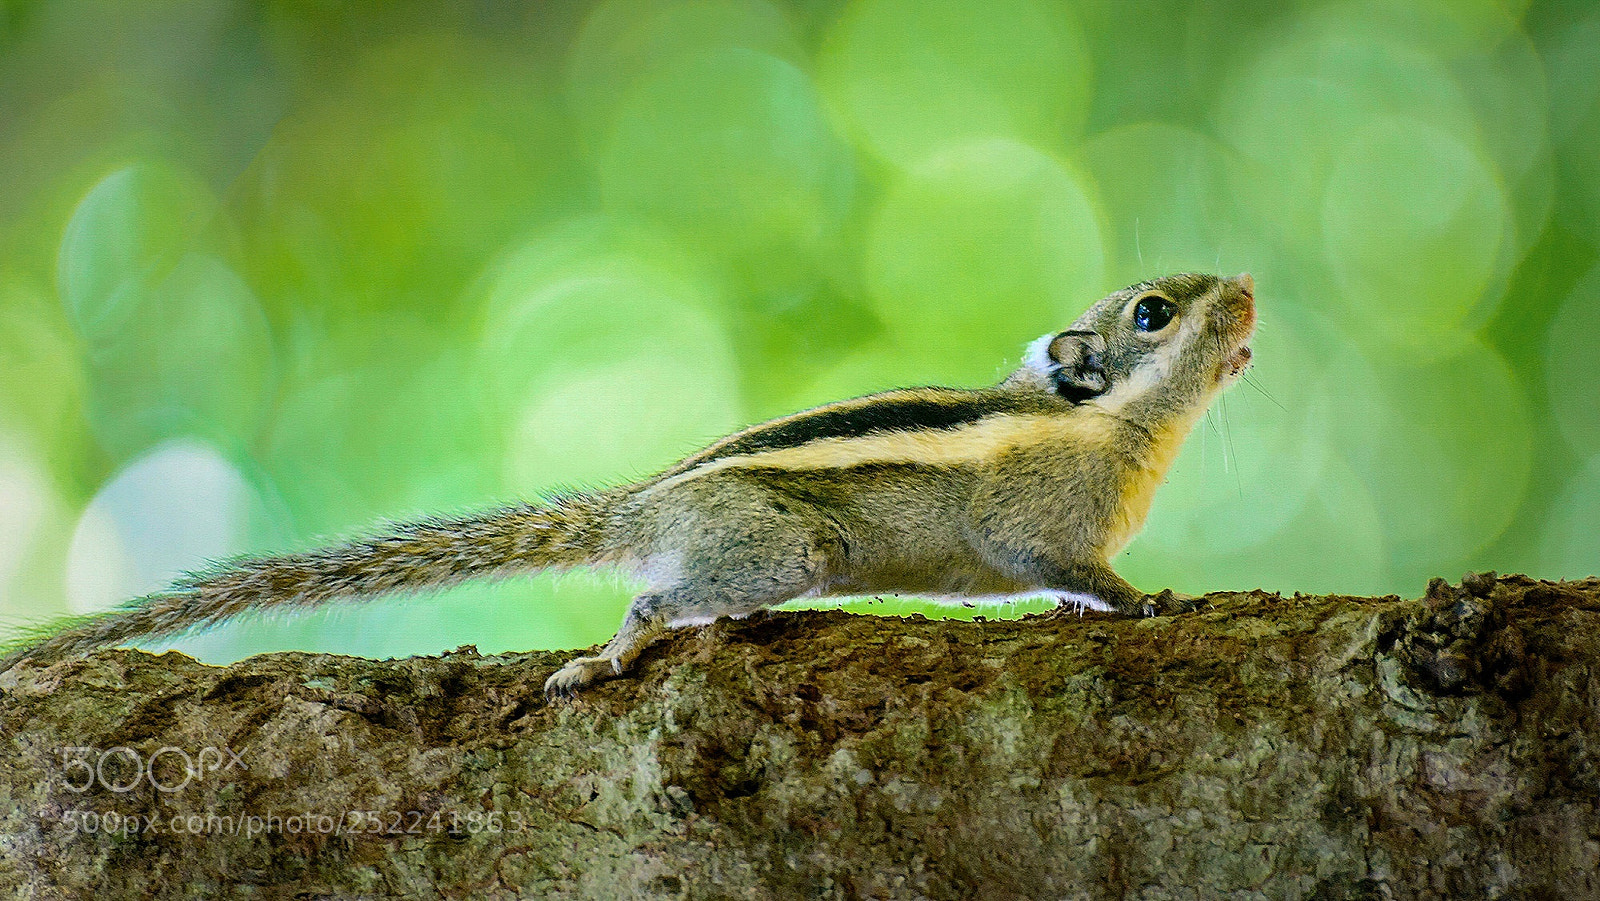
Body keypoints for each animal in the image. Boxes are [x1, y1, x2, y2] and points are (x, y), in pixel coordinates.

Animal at [1, 272, 1256, 699]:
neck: (1116, 427)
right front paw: (1148, 599)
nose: (1243, 291)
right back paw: (608, 654)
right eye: (1154, 311)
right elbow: (1069, 569)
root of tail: (646, 501)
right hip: (785, 547)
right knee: (655, 596)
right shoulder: (1039, 520)